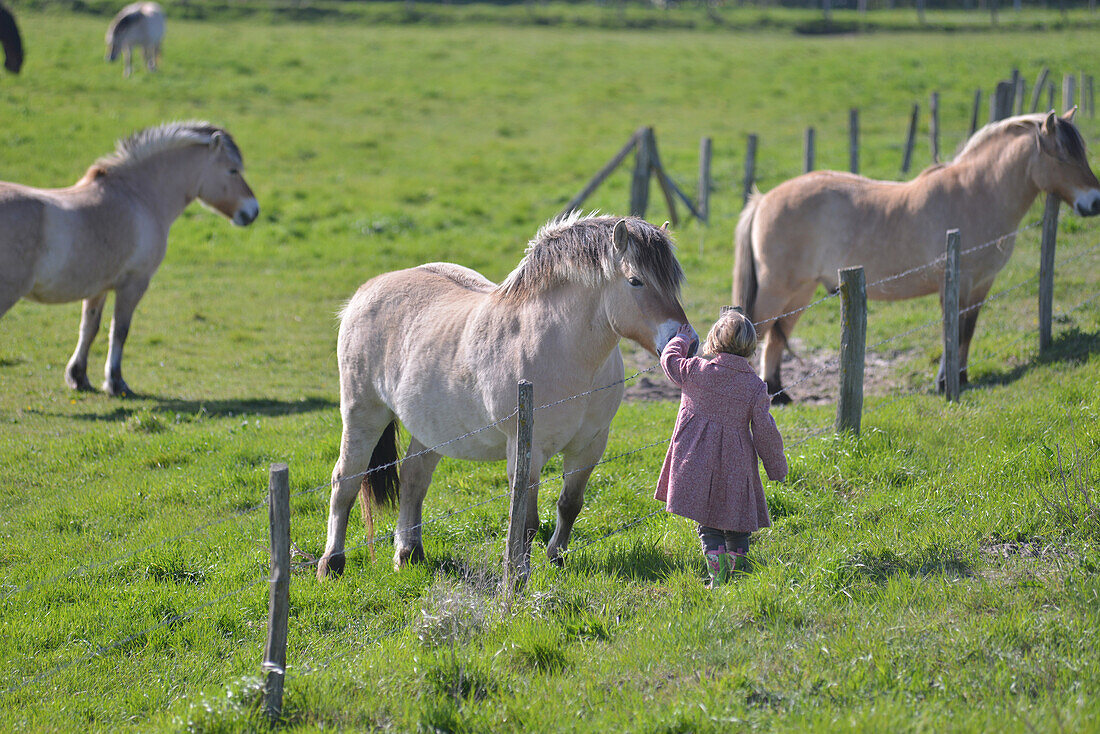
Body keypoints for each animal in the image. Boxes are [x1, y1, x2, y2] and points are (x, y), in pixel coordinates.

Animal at [0, 121, 259, 396]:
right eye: (232, 170)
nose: (253, 210)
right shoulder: (133, 284)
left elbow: (89, 329)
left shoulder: (98, 288)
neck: (138, 196)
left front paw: (78, 377)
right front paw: (116, 383)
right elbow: (119, 331)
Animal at [319, 212, 695, 581]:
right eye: (635, 281)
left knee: (413, 478)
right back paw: (331, 564)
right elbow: (526, 522)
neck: (561, 348)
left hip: (432, 428)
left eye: (674, 282)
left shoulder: (590, 446)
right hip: (363, 414)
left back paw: (408, 555)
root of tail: (365, 292)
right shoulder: (527, 450)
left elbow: (570, 504)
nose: (688, 342)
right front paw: (518, 576)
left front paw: (557, 558)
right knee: (346, 480)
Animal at [734, 108, 1100, 402]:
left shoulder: (982, 285)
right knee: (757, 330)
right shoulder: (955, 284)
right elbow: (952, 330)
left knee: (775, 338)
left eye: (1082, 154)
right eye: (1062, 157)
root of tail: (763, 200)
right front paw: (945, 384)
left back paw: (779, 395)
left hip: (801, 292)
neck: (976, 195)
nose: (1095, 202)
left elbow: (967, 330)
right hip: (778, 289)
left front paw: (962, 378)